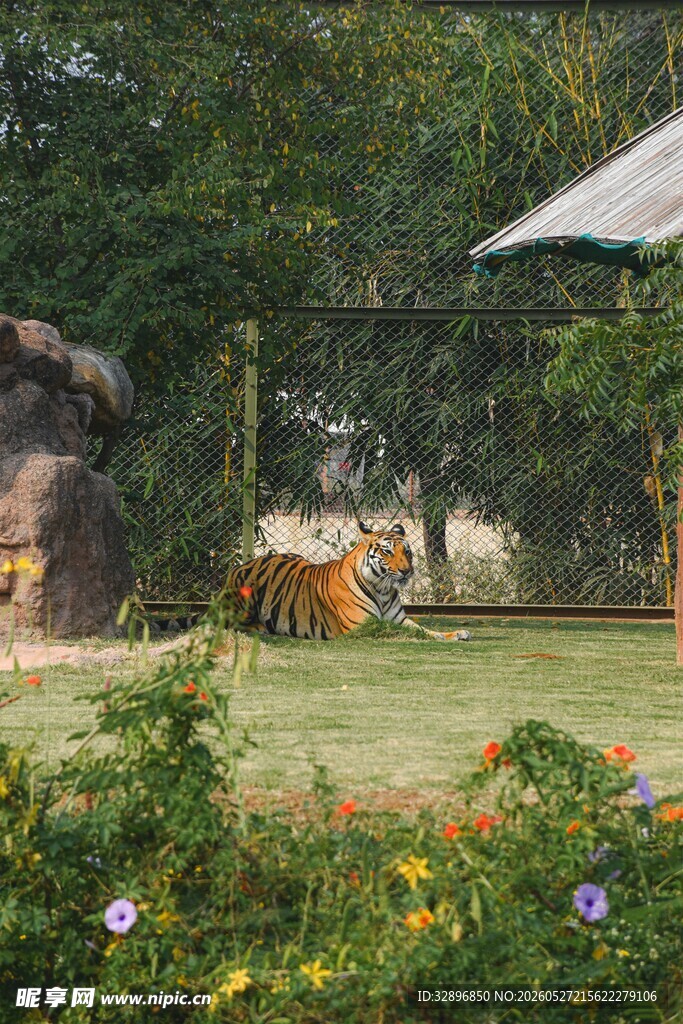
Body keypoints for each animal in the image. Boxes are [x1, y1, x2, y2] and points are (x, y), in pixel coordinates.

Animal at [226, 521, 472, 642]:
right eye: (388, 551)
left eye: (408, 552)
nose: (406, 571)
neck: (383, 589)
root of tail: (240, 566)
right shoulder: (363, 625)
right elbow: (405, 633)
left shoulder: (399, 619)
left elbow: (424, 630)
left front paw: (457, 633)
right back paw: (260, 628)